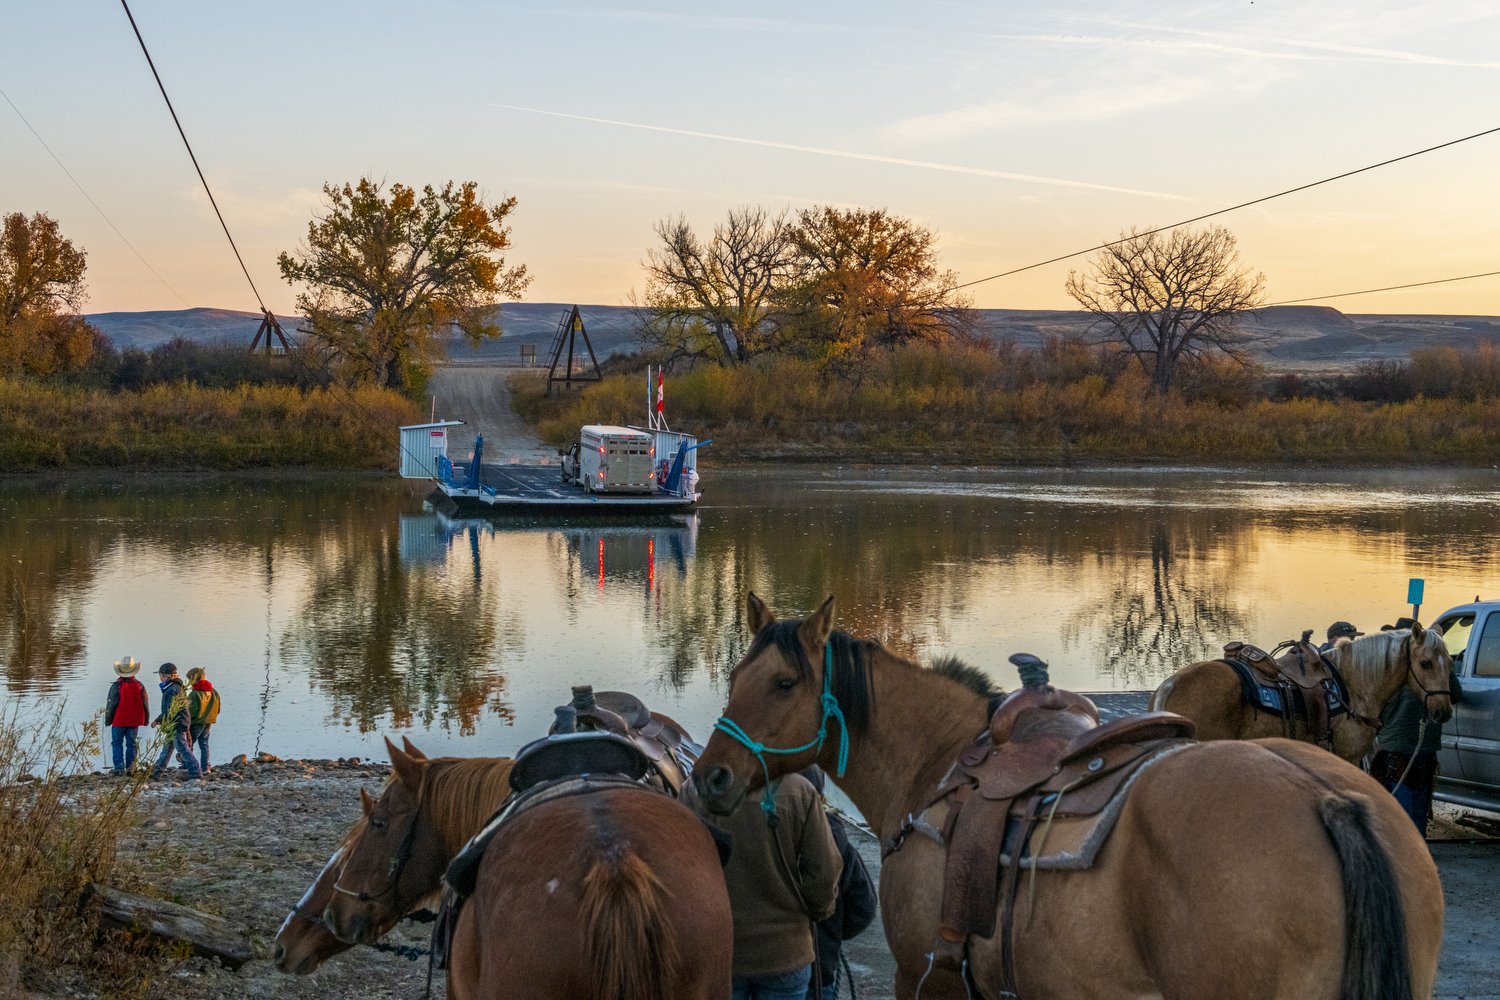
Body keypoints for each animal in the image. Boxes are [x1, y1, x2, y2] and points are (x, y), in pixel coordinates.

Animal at [1146, 620, 1452, 761]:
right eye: (1425, 663)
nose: (1444, 711)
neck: (1353, 686)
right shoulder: (1349, 757)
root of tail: (1169, 686)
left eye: (1450, 662)